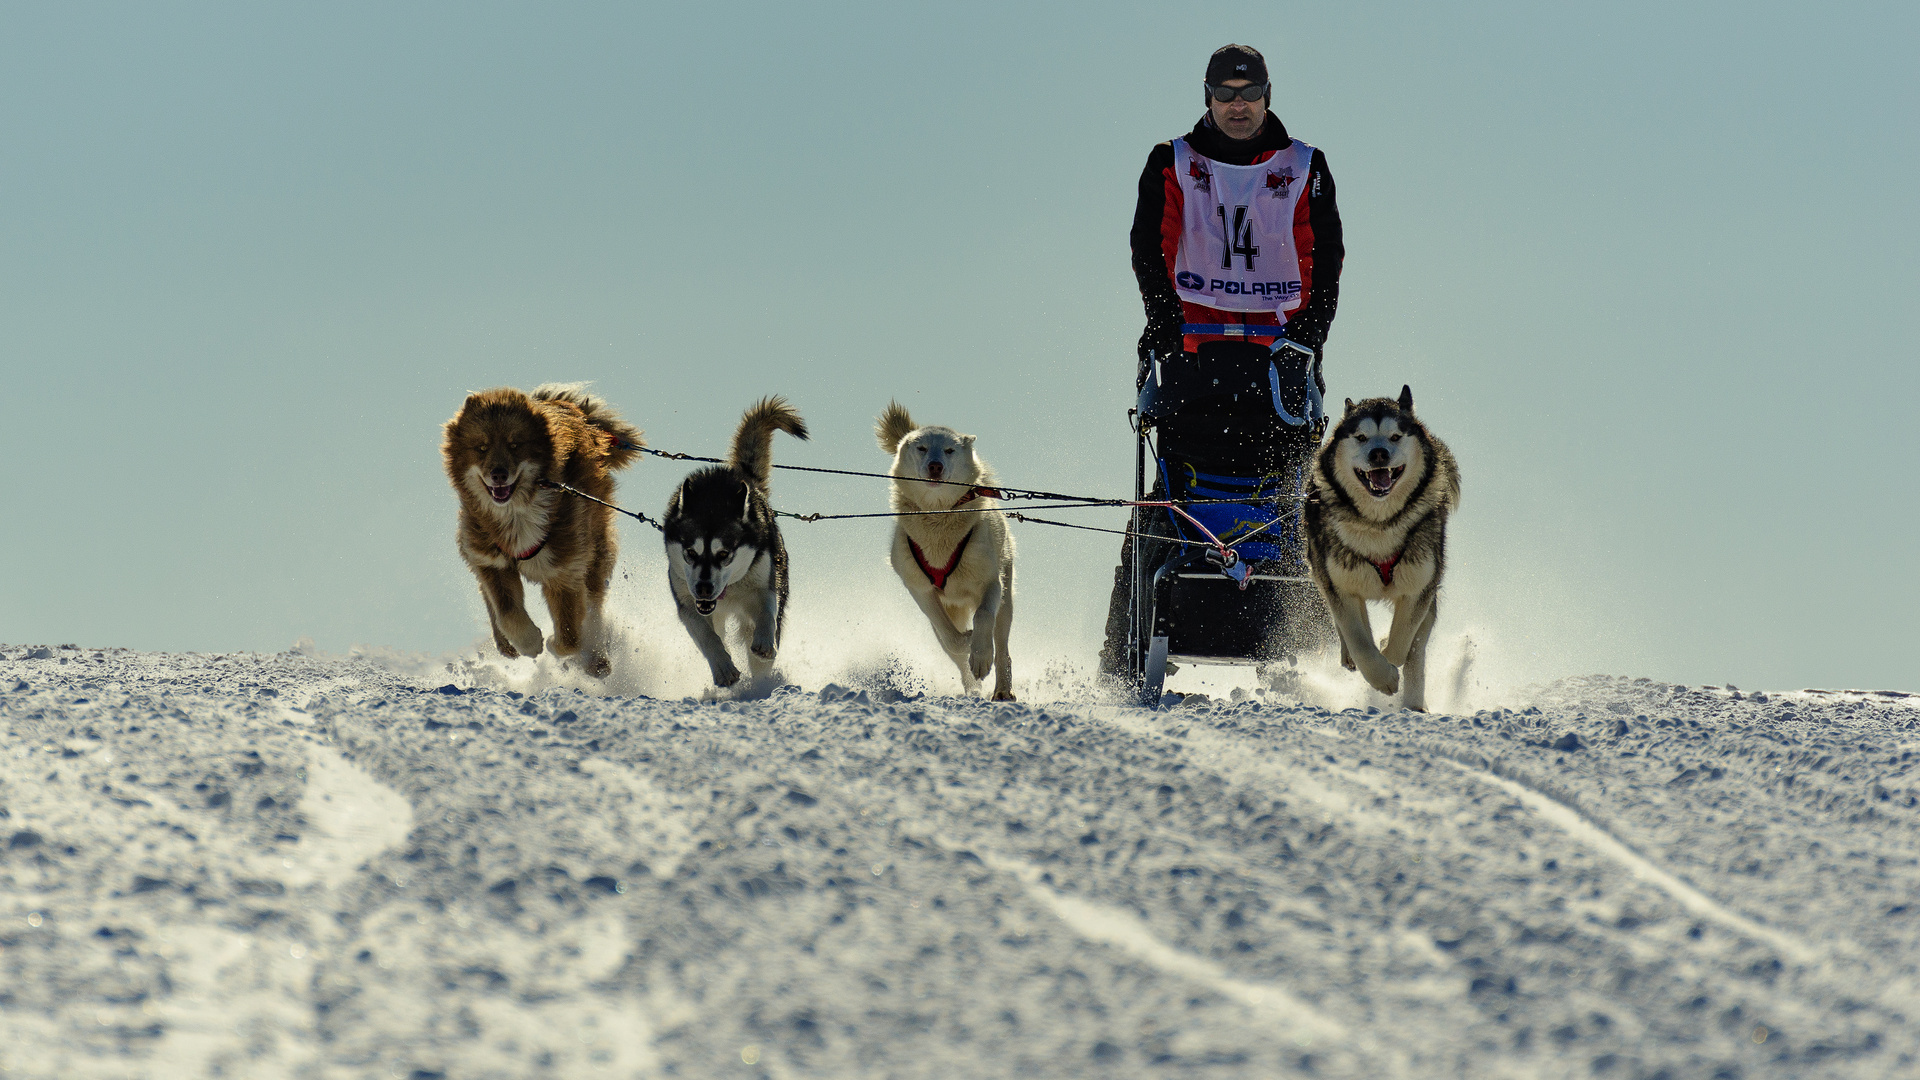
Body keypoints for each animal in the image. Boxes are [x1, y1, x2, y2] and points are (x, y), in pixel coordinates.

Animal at [439, 384, 641, 672]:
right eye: (481, 447)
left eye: (515, 445)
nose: (498, 474)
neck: (517, 513)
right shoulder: (493, 562)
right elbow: (507, 612)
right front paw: (529, 643)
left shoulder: (564, 570)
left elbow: (570, 637)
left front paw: (555, 646)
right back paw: (506, 643)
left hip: (595, 549)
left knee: (593, 603)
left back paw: (597, 659)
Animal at [875, 399, 1013, 691]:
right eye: (922, 448)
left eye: (949, 450)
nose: (935, 466)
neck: (939, 517)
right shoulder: (920, 590)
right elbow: (951, 637)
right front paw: (968, 644)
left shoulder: (990, 582)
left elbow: (983, 616)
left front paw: (981, 655)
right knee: (952, 648)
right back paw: (972, 685)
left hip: (1006, 598)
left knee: (1002, 644)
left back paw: (1002, 689)